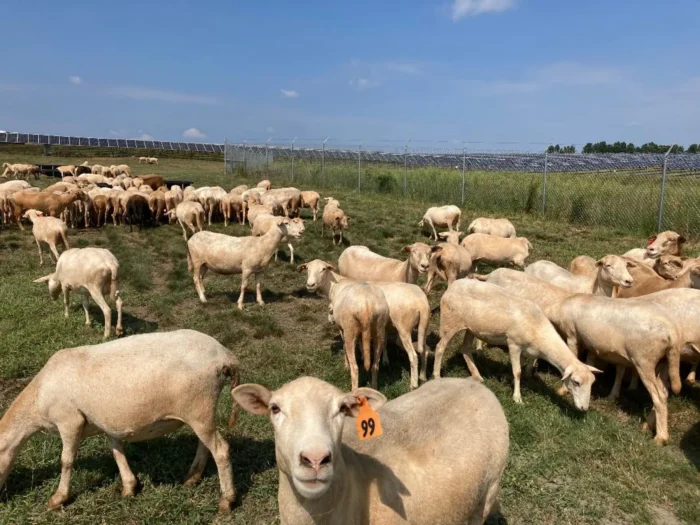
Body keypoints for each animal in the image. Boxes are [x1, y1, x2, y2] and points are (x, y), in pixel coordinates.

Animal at [0, 329, 239, 512]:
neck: (37, 398)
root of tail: (226, 357)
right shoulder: (106, 423)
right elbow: (116, 451)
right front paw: (129, 487)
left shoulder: (69, 420)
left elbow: (66, 460)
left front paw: (58, 499)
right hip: (201, 413)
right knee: (205, 444)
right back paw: (192, 478)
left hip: (198, 407)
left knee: (221, 450)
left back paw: (226, 501)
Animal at [298, 259, 430, 388]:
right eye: (307, 269)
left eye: (323, 269)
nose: (310, 285)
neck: (334, 285)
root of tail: (422, 302)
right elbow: (370, 345)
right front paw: (376, 359)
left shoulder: (343, 328)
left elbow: (345, 346)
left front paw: (346, 365)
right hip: (422, 327)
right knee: (424, 350)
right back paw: (423, 376)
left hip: (403, 328)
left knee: (413, 356)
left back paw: (413, 384)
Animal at [433, 278, 599, 408]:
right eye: (576, 382)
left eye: (592, 383)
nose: (584, 408)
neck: (539, 330)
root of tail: (453, 285)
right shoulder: (513, 344)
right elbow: (517, 371)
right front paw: (517, 397)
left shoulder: (529, 349)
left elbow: (527, 364)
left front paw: (525, 378)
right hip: (450, 322)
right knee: (440, 347)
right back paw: (437, 376)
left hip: (471, 328)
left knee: (466, 349)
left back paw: (477, 375)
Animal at [547, 295, 682, 445]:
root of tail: (673, 332)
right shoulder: (591, 344)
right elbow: (591, 363)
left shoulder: (572, 335)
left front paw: (563, 389)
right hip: (663, 363)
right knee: (664, 392)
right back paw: (648, 424)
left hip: (644, 360)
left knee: (659, 396)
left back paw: (661, 437)